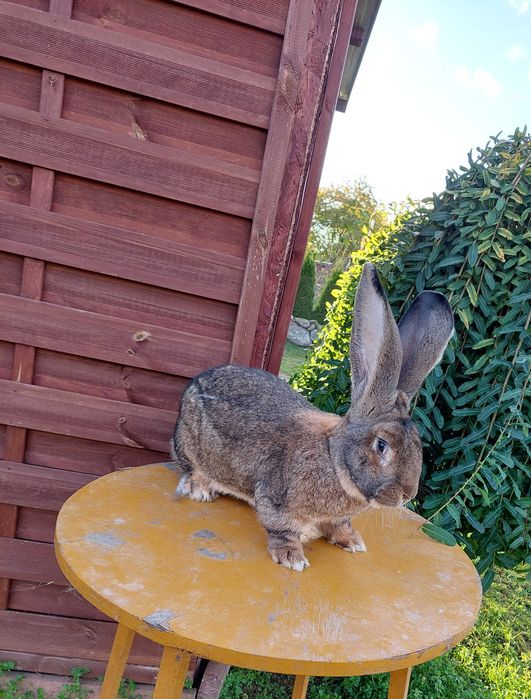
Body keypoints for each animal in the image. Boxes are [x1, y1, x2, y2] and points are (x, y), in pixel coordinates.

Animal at [170, 262, 454, 568]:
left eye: (418, 444)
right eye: (381, 445)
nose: (407, 494)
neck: (333, 459)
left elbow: (338, 525)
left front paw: (351, 541)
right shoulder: (276, 498)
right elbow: (281, 528)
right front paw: (292, 558)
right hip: (190, 446)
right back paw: (200, 488)